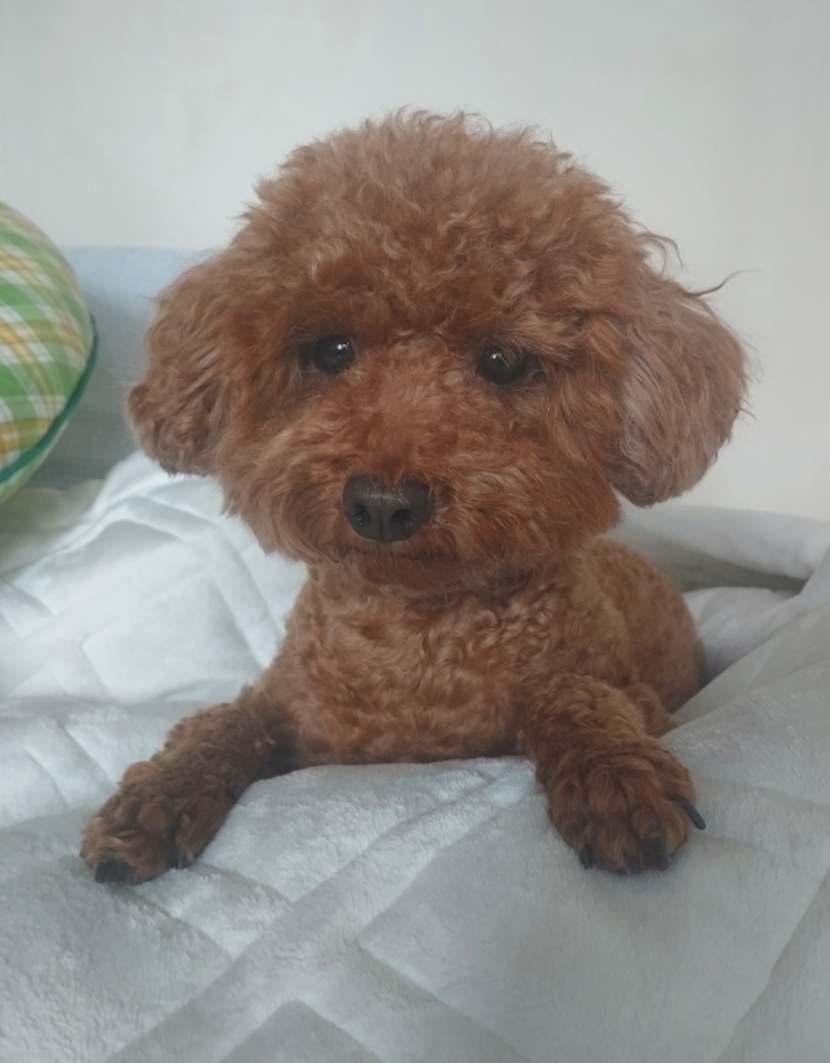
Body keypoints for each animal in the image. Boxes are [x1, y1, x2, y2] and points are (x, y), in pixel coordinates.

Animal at [82, 112, 746, 882]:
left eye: (503, 361)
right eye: (332, 350)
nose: (383, 503)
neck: (417, 638)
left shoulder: (626, 693)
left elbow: (578, 697)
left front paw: (616, 779)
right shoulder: (292, 711)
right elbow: (221, 721)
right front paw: (153, 797)